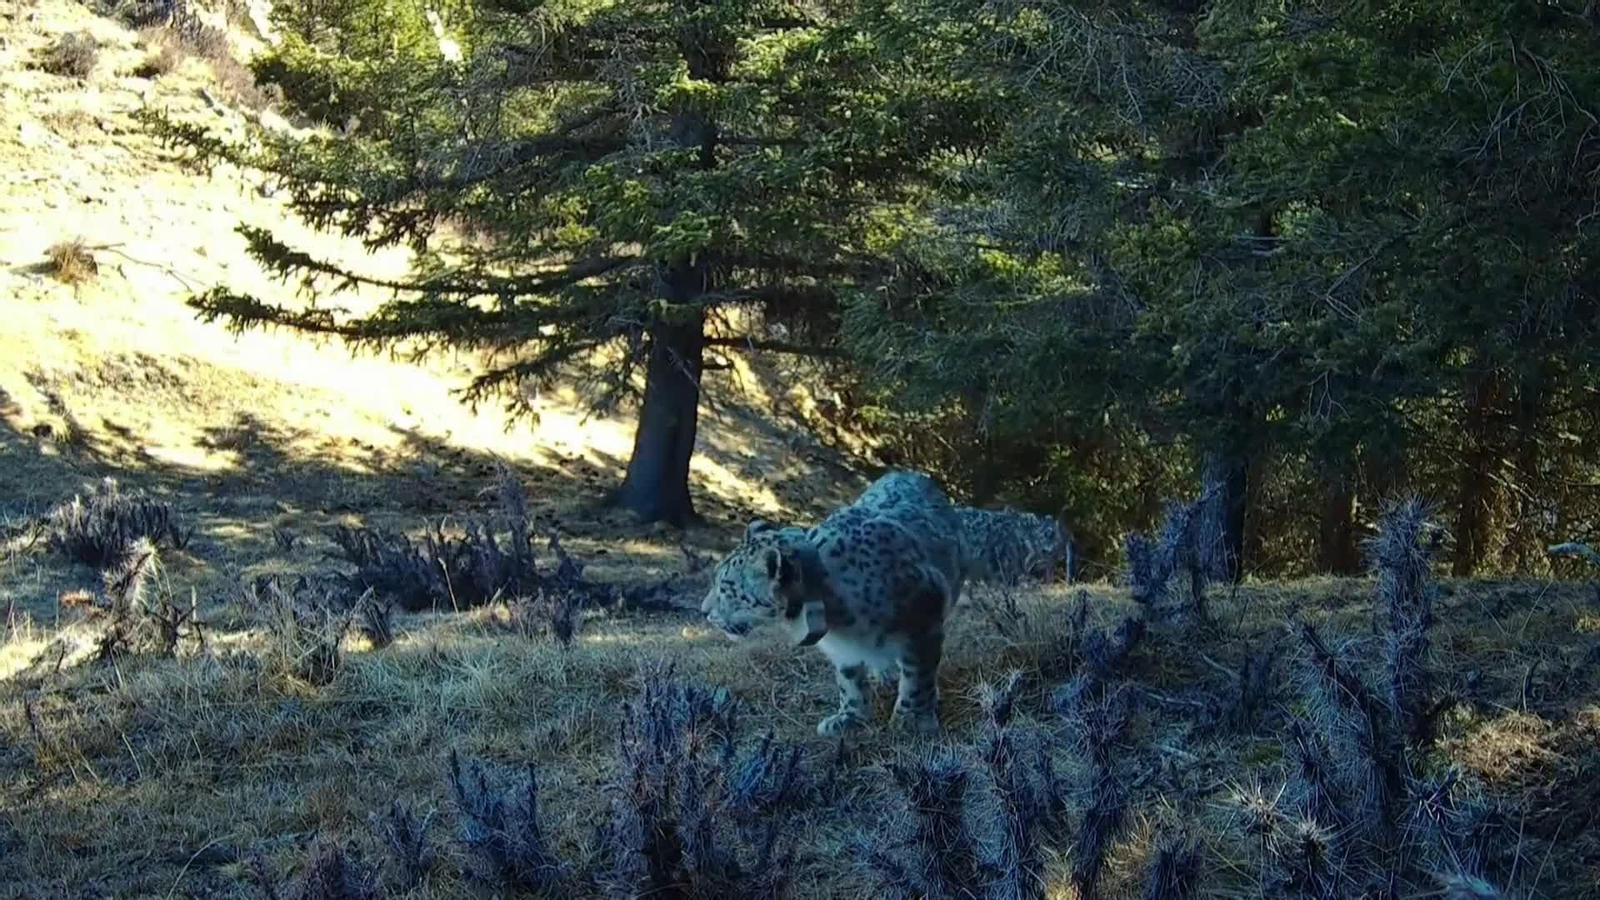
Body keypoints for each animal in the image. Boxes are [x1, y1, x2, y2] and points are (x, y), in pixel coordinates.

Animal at [699, 469, 966, 736]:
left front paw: (912, 720)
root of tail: (908, 471)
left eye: (726, 587)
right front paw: (850, 717)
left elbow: (917, 675)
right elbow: (850, 682)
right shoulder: (843, 650)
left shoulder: (924, 618)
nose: (703, 612)